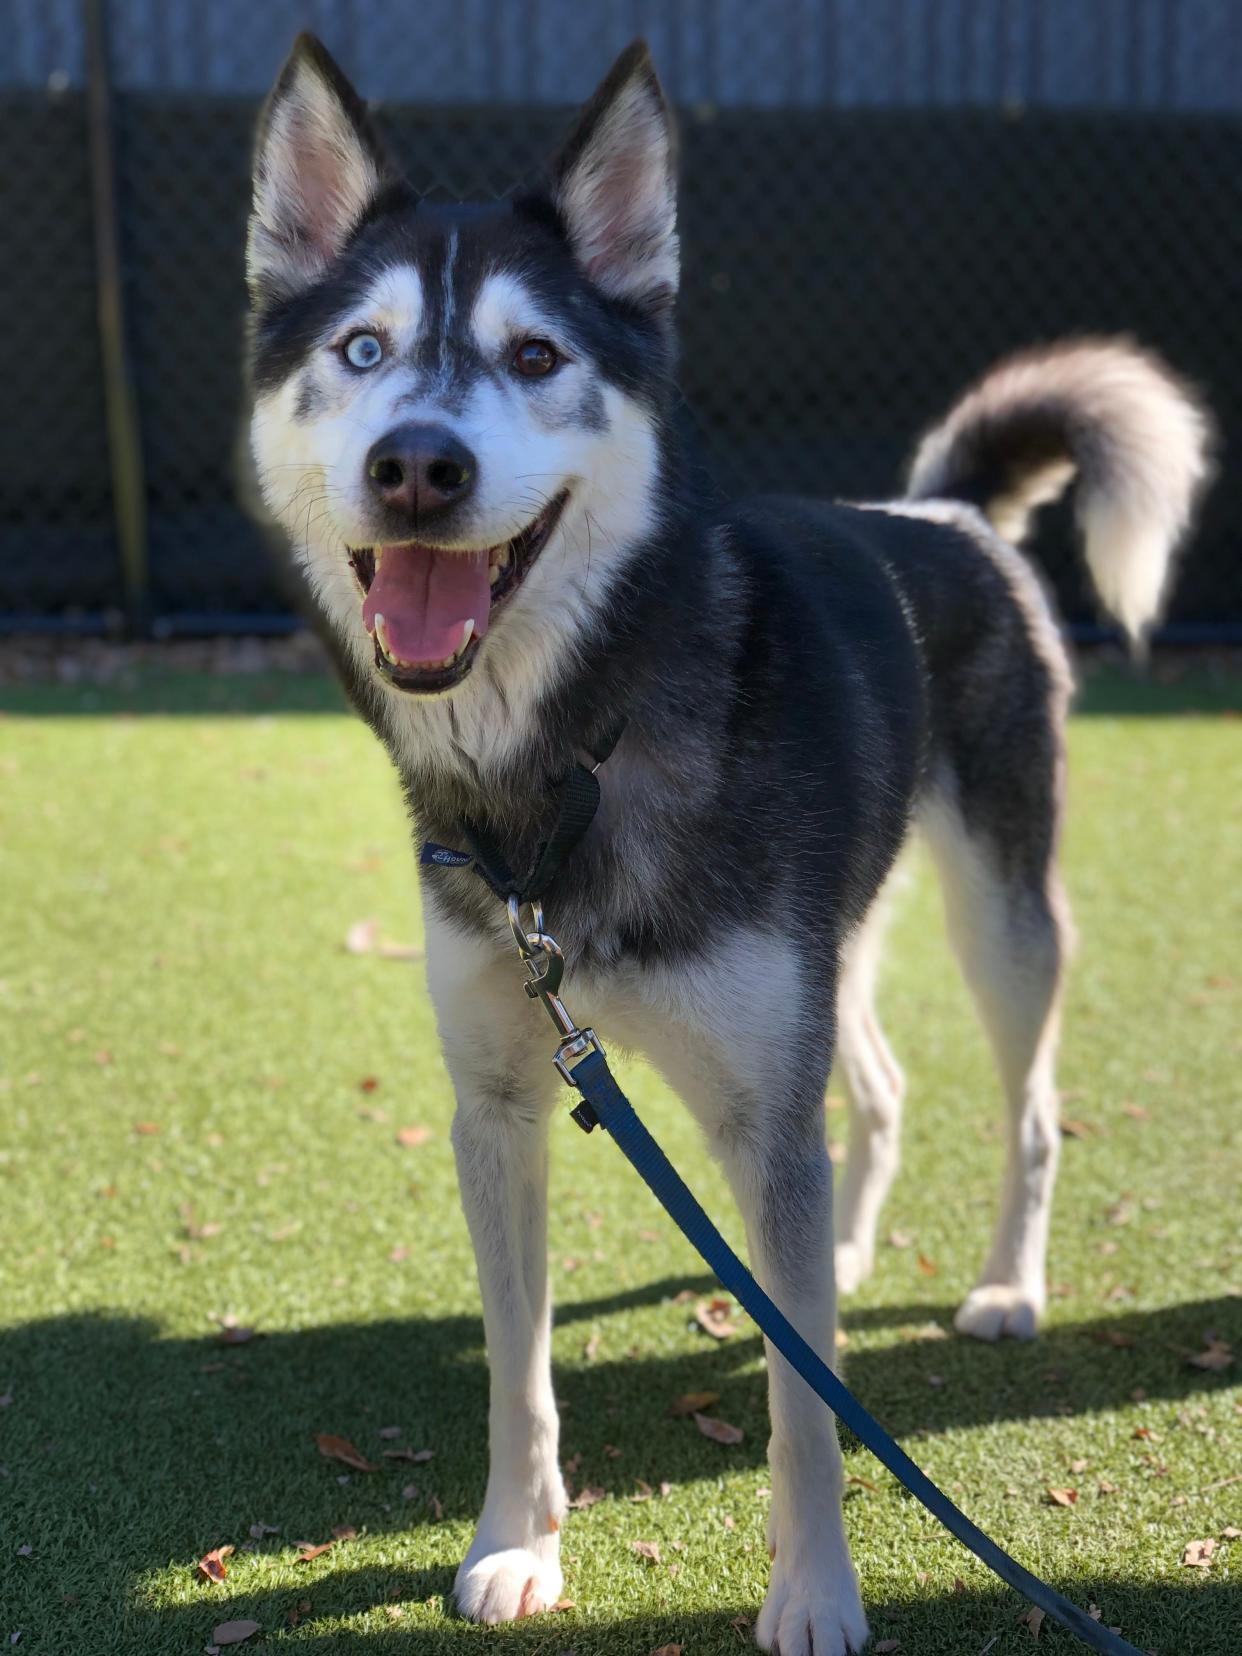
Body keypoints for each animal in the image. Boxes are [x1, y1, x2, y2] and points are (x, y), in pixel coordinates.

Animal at [248, 38, 1212, 1656]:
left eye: (535, 359)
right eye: (363, 352)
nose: (414, 467)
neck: (578, 754)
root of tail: (946, 511)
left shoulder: (763, 1096)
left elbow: (803, 1403)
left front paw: (815, 1595)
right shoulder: (498, 1101)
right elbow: (517, 1372)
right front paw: (517, 1544)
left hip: (1000, 918)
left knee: (1025, 1107)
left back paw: (1003, 1288)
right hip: (839, 949)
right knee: (874, 1090)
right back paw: (843, 1254)